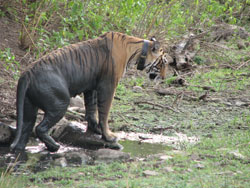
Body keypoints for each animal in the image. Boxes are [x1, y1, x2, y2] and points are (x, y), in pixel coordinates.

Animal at [10, 31, 163, 152]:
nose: (164, 77)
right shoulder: (108, 87)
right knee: (40, 128)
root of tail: (26, 74)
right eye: (163, 61)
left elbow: (91, 109)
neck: (137, 50)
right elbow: (104, 112)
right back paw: (54, 146)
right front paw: (108, 136)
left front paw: (95, 129)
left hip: (29, 108)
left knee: (25, 129)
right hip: (59, 103)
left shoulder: (92, 87)